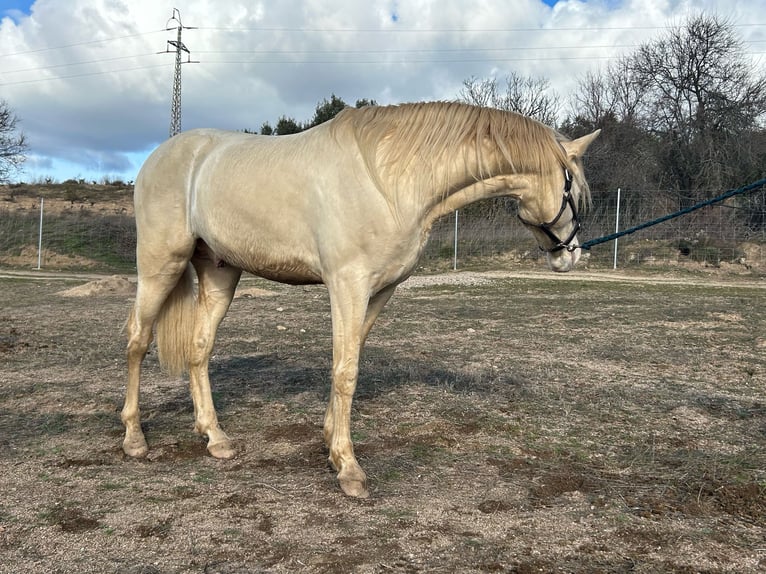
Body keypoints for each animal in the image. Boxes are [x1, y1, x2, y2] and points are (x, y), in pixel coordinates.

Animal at [121, 101, 600, 498]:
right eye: (572, 190)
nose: (572, 254)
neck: (388, 178)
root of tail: (162, 156)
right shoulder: (347, 285)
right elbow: (345, 371)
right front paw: (349, 468)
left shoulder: (380, 290)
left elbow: (350, 360)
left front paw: (331, 442)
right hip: (161, 264)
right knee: (138, 340)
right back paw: (134, 438)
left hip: (220, 272)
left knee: (200, 349)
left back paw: (215, 437)